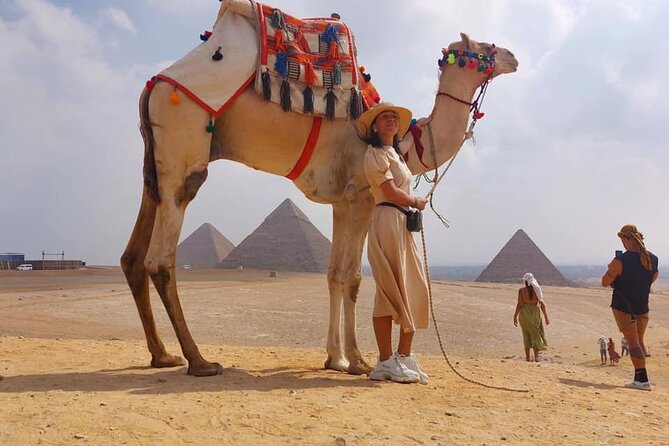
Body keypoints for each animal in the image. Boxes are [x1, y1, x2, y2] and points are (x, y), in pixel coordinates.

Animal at [120, 2, 518, 377]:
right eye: (485, 48)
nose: (513, 56)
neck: (402, 140)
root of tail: (153, 86)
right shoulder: (361, 197)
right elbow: (353, 278)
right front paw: (357, 360)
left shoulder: (341, 201)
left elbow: (333, 274)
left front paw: (335, 358)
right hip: (184, 145)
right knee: (161, 255)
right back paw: (199, 360)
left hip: (155, 166)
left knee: (133, 255)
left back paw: (162, 354)